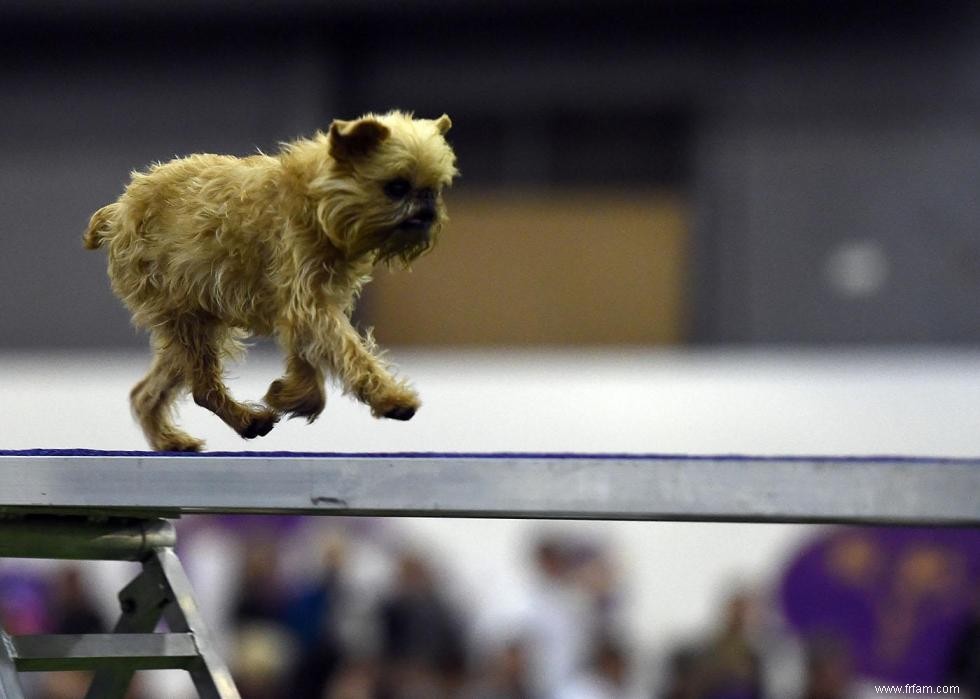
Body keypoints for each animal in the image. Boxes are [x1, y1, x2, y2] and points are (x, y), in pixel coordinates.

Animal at [82, 112, 458, 452]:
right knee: (201, 389)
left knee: (147, 391)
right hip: (186, 317)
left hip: (192, 324)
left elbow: (305, 355)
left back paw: (170, 440)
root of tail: (119, 211)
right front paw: (389, 398)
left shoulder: (304, 304)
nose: (427, 205)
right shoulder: (308, 301)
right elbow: (347, 350)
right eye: (396, 187)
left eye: (436, 189)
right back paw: (248, 421)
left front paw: (294, 395)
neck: (317, 197)